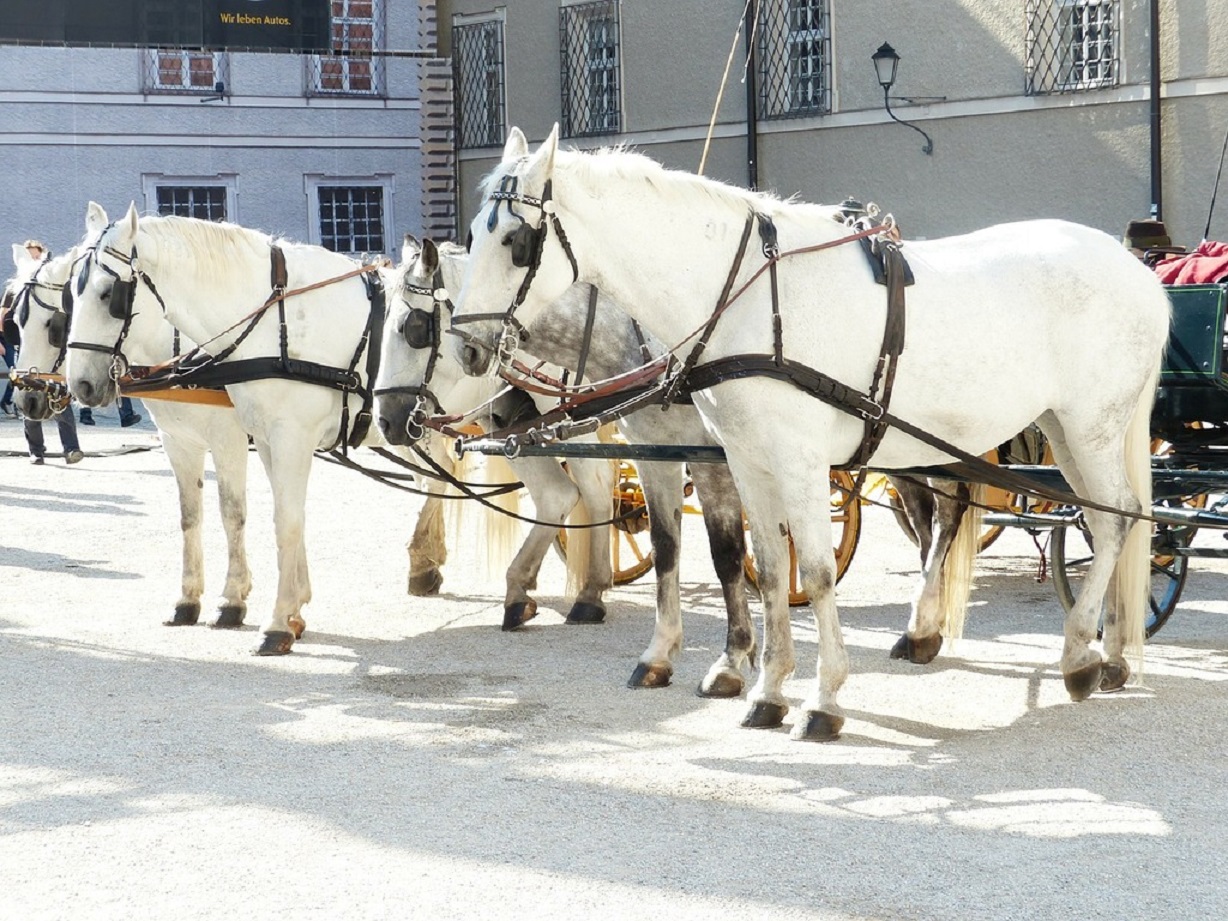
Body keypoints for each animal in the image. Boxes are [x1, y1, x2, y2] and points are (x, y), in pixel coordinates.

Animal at [8, 236, 253, 628]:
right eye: (15, 322)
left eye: (54, 325)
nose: (27, 397)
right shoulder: (179, 443)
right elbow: (190, 515)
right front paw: (189, 599)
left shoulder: (228, 442)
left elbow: (232, 514)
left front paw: (231, 599)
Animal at [375, 236, 758, 695]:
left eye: (412, 328)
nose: (385, 420)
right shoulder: (657, 452)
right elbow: (668, 545)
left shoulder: (719, 457)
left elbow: (733, 551)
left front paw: (738, 660)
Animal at [447, 126, 1169, 741]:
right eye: (473, 235)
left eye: (516, 242)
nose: (466, 348)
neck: (743, 300)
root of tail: (1138, 270)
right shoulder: (743, 457)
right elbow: (761, 568)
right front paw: (767, 688)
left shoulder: (794, 461)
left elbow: (814, 573)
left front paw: (823, 698)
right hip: (1057, 432)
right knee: (1094, 518)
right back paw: (1101, 652)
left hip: (1089, 428)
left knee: (1113, 518)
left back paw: (1078, 654)